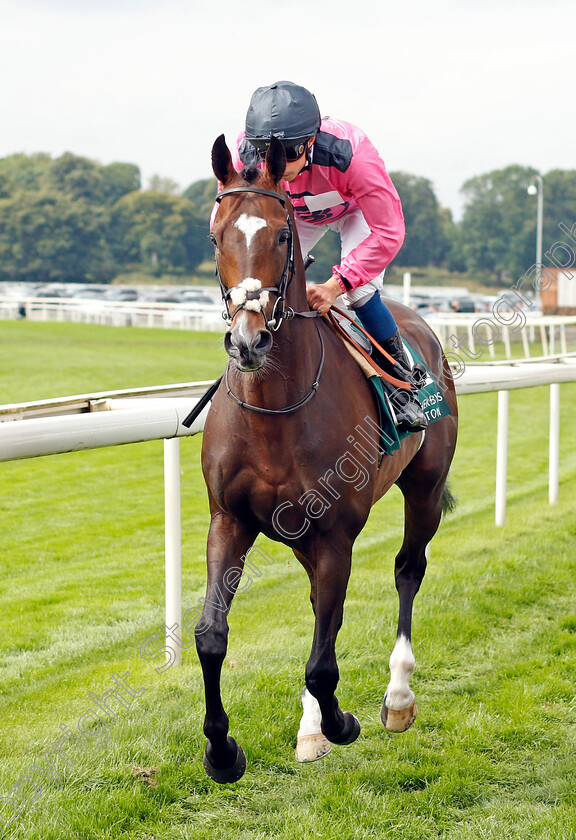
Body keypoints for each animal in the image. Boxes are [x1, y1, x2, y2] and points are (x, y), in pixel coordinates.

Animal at [196, 135, 456, 784]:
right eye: (217, 234)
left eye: (281, 237)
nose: (248, 341)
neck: (275, 408)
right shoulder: (229, 520)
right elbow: (212, 635)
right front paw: (222, 750)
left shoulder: (337, 532)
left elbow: (322, 658)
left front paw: (342, 722)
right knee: (322, 608)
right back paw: (310, 728)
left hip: (424, 487)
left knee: (407, 569)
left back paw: (396, 698)